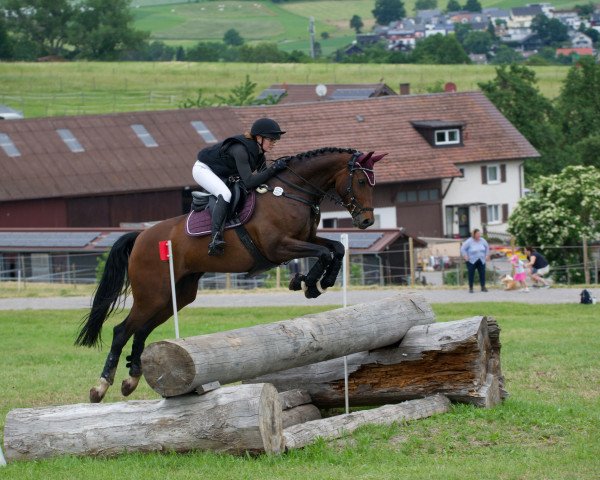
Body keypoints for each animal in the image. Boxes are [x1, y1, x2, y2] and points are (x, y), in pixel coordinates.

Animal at [76, 146, 384, 402]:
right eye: (360, 182)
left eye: (373, 183)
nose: (366, 221)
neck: (290, 192)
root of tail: (141, 237)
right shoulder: (279, 247)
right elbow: (323, 253)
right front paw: (307, 283)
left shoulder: (305, 239)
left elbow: (335, 249)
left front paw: (318, 282)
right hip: (153, 294)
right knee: (121, 330)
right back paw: (100, 387)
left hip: (177, 294)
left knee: (140, 330)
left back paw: (131, 380)